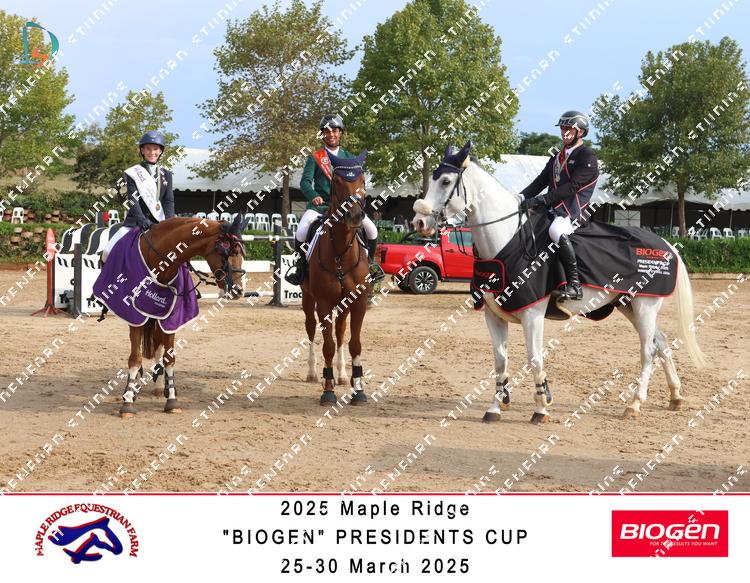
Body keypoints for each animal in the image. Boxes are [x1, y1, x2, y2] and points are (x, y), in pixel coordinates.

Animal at [101, 215, 247, 418]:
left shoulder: (170, 319)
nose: (238, 291)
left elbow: (169, 358)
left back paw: (159, 386)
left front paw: (171, 399)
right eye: (228, 251)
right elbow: (135, 358)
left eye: (242, 253)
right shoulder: (135, 316)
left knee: (157, 346)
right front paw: (128, 402)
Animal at [301, 150, 370, 405]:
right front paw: (328, 390)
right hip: (308, 299)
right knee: (311, 329)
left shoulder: (358, 301)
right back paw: (313, 373)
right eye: (338, 182)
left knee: (340, 332)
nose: (355, 216)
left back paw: (342, 375)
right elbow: (328, 346)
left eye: (362, 180)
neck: (341, 250)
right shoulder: (322, 303)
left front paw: (358, 389)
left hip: (343, 305)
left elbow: (354, 343)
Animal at [412, 142, 706, 423]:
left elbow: (534, 359)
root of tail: (665, 243)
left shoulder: (532, 314)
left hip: (645, 305)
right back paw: (676, 396)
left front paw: (541, 408)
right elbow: (500, 362)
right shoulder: (493, 315)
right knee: (662, 343)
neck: (507, 241)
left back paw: (634, 404)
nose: (419, 222)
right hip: (628, 305)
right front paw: (495, 407)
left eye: (446, 181)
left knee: (648, 350)